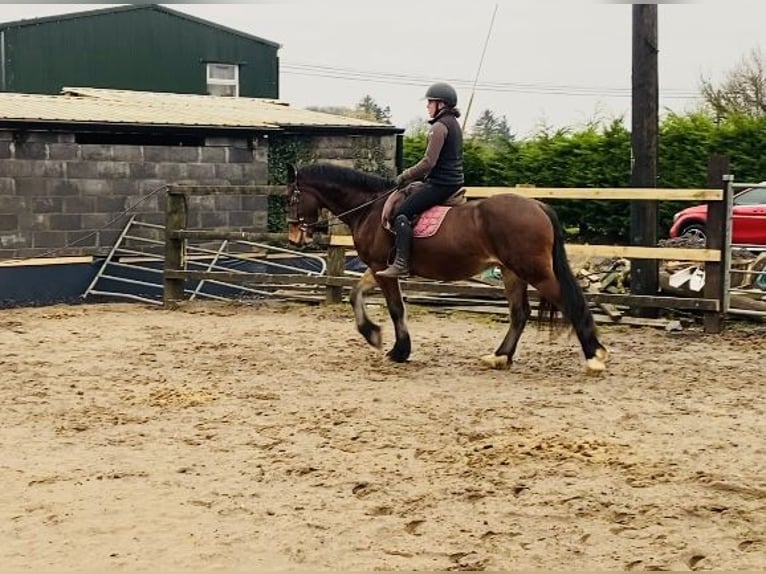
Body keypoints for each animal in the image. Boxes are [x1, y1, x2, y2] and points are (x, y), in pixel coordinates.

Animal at [284, 164, 608, 376]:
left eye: (292, 197)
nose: (294, 237)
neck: (369, 209)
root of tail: (538, 206)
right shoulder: (378, 269)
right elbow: (355, 295)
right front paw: (373, 334)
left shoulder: (381, 268)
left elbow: (395, 309)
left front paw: (397, 350)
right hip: (511, 272)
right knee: (520, 313)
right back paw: (499, 357)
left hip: (534, 272)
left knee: (571, 303)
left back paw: (594, 357)